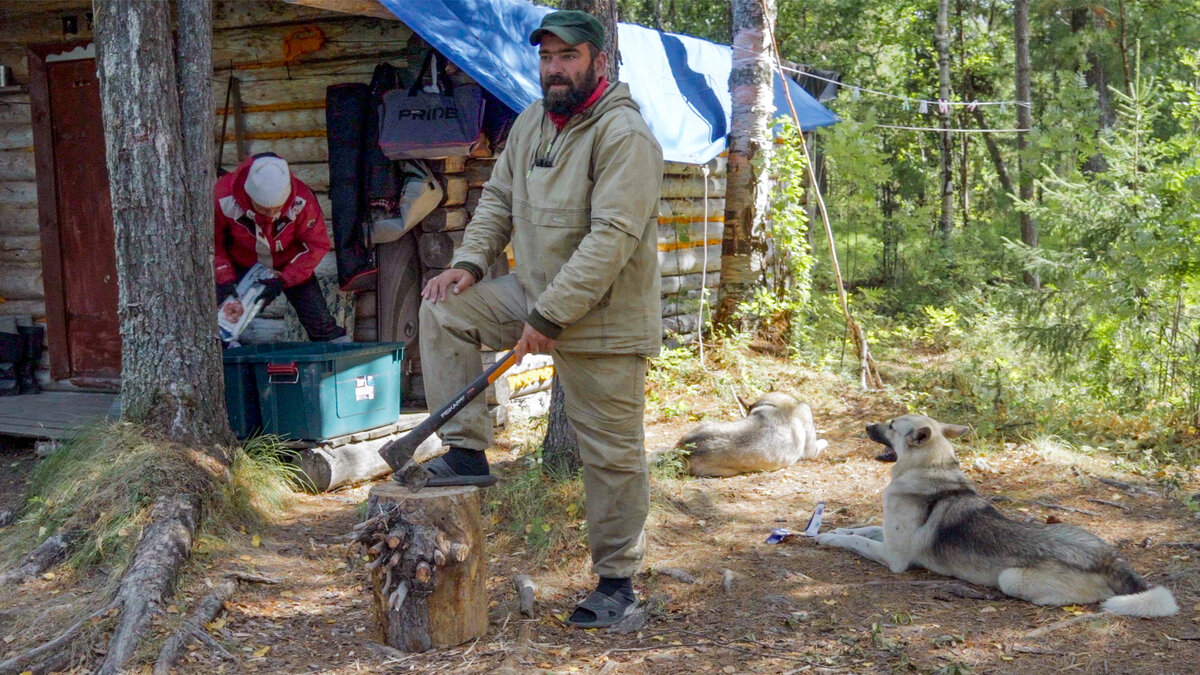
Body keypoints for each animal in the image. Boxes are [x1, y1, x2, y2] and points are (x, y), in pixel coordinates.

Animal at [811, 410, 1176, 614]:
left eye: (890, 426)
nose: (866, 425)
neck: (929, 469)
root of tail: (1109, 559)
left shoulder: (894, 556)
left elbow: (860, 542)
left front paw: (830, 538)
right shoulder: (887, 534)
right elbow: (863, 529)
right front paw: (835, 529)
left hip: (1010, 578)